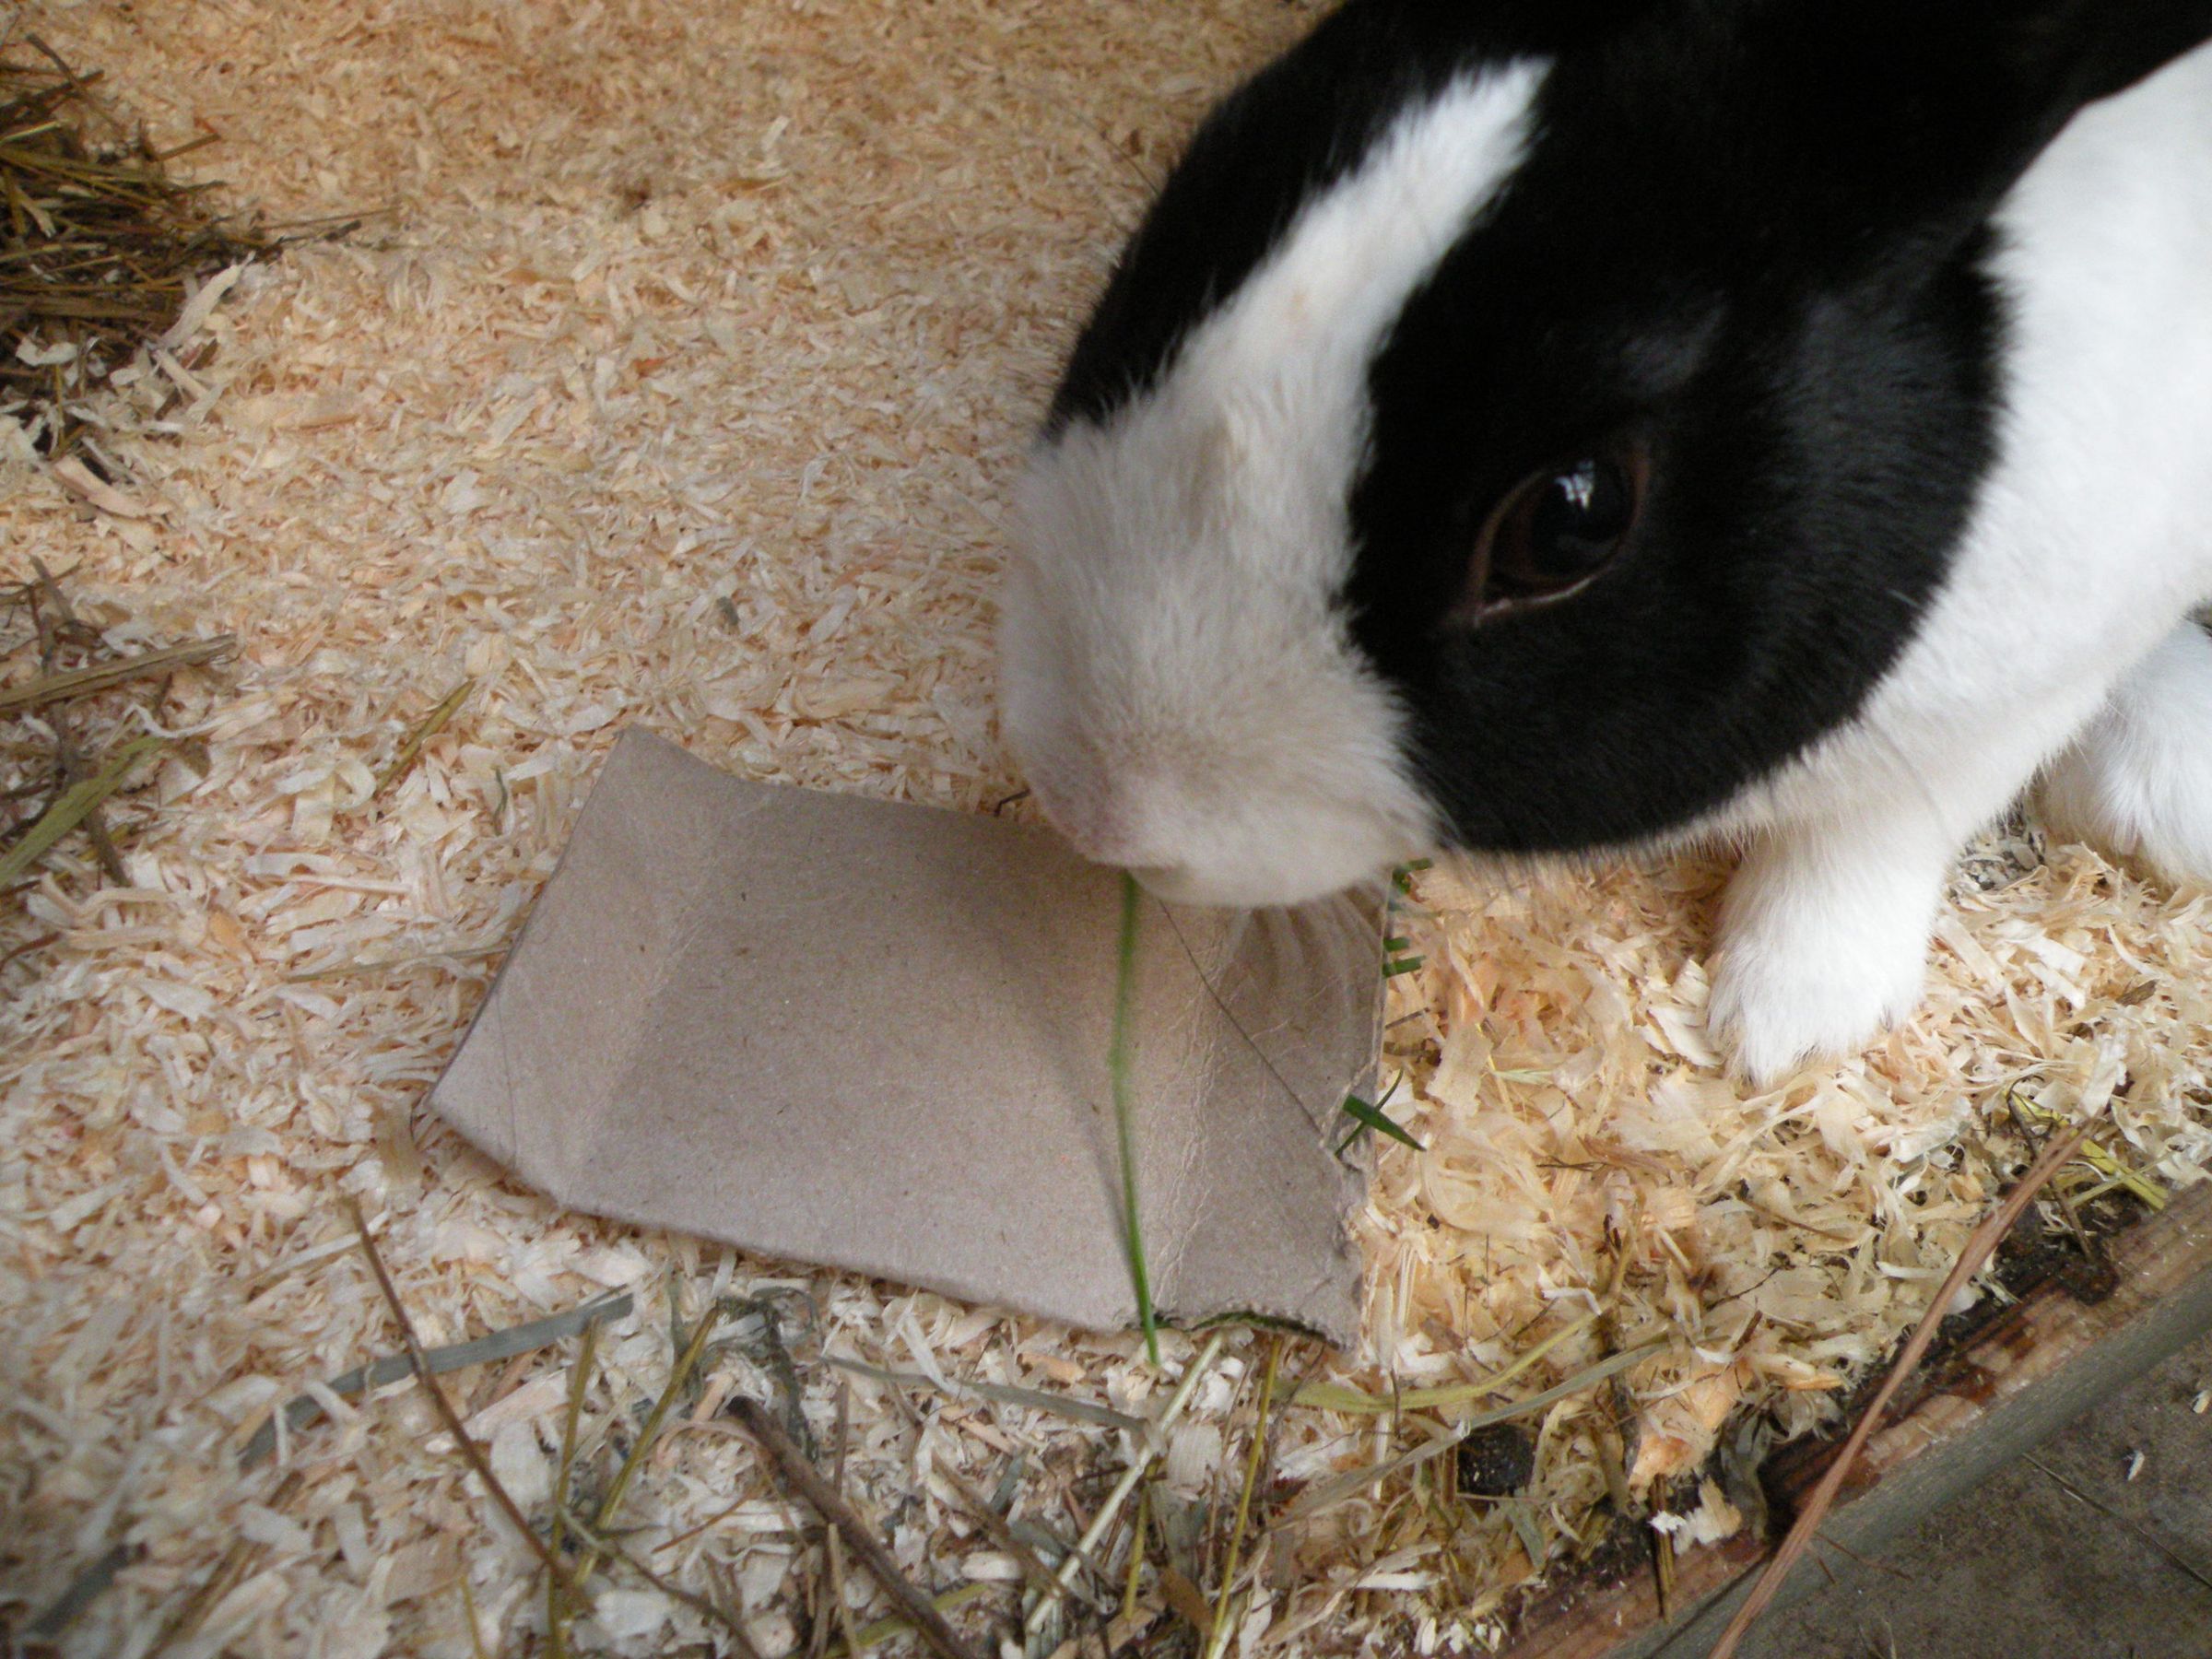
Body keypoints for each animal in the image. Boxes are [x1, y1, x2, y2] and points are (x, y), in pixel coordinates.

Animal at [996, 0, 2212, 1085]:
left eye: (1567, 522)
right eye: (1213, 168)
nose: (1090, 807)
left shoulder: (2018, 690)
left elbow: (1873, 835)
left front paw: (1781, 1029)